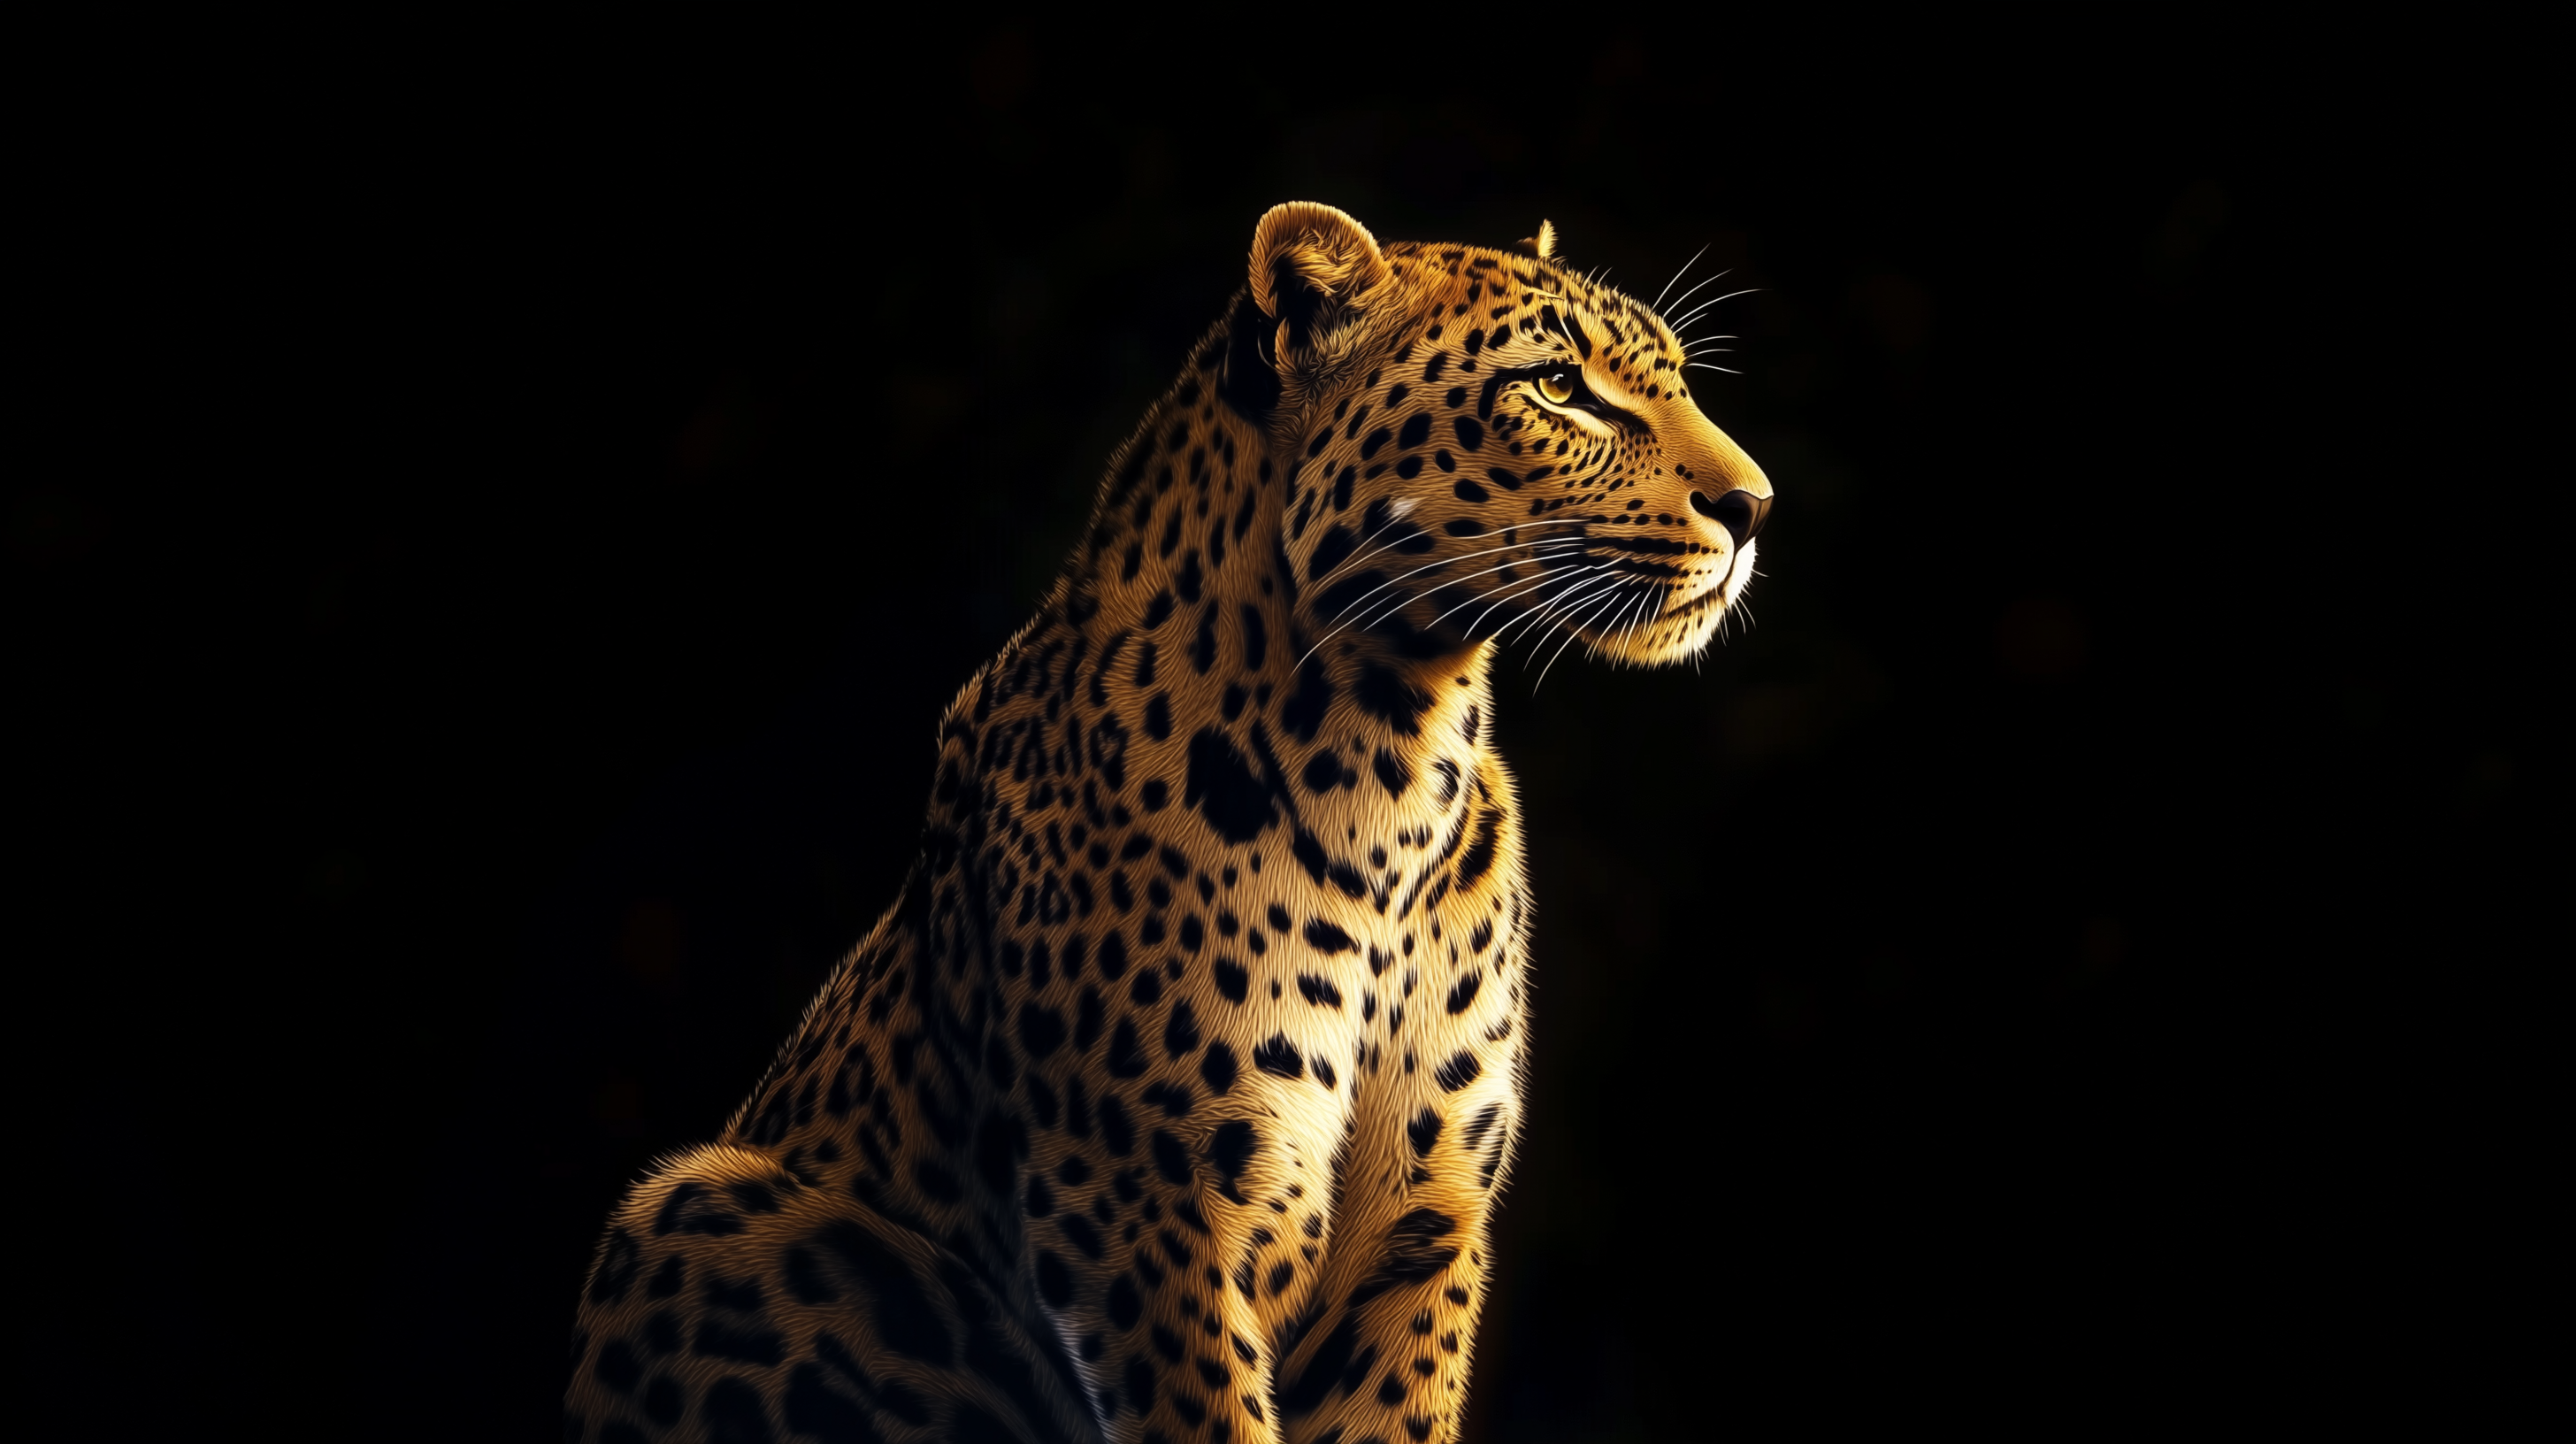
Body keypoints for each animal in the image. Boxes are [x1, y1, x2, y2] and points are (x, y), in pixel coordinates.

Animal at [565, 202, 1773, 1444]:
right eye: (1556, 386)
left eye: (1677, 379)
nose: (1753, 508)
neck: (1391, 750)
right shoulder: (1139, 1208)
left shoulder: (1425, 1218)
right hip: (700, 1211)